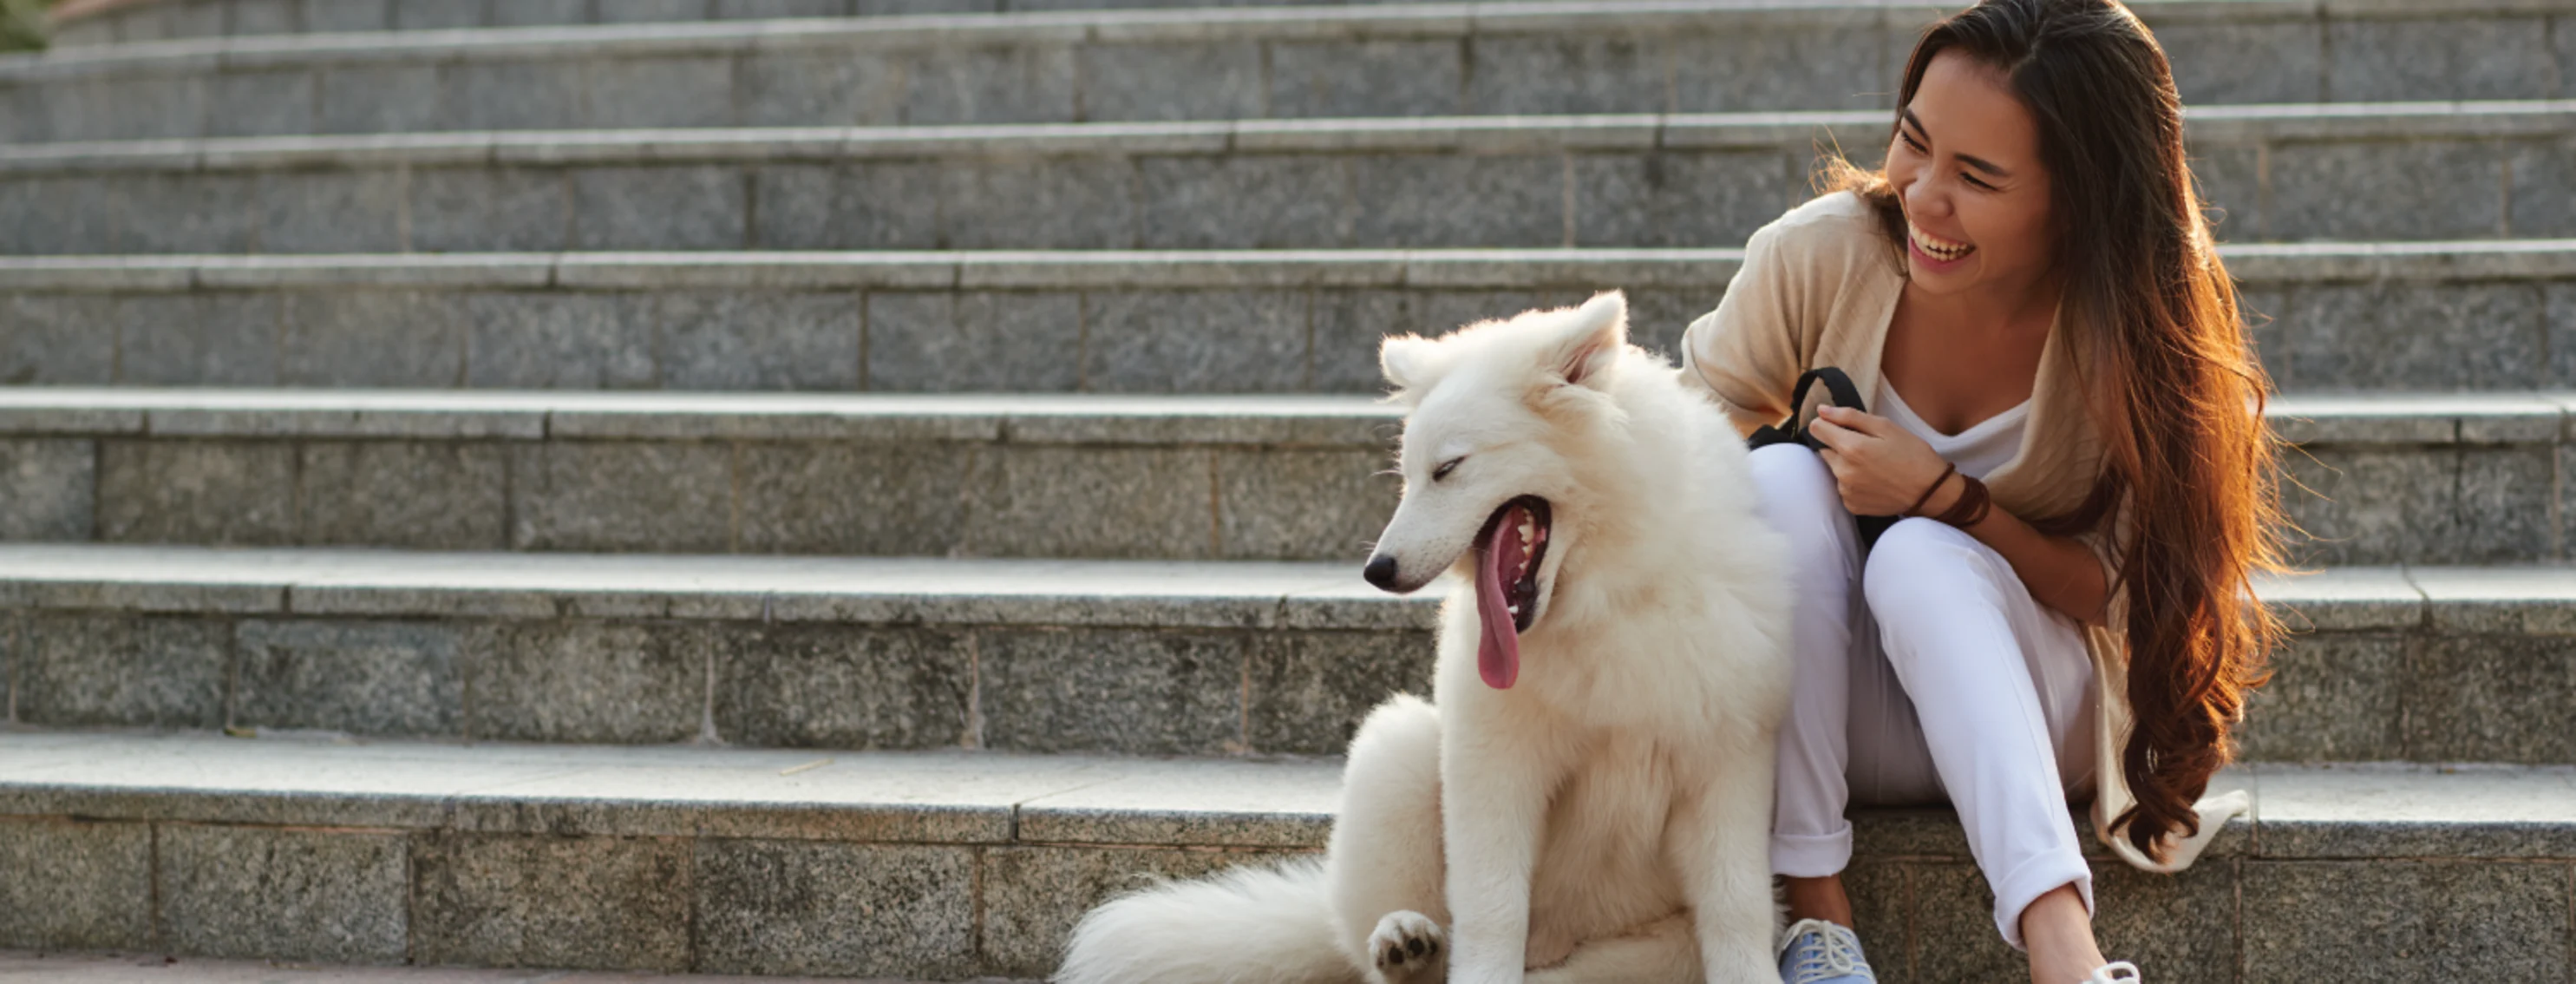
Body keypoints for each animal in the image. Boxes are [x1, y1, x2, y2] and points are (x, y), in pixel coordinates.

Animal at [1045, 292, 1793, 984]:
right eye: (1408, 475)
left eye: (1449, 468)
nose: (1377, 571)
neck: (1608, 597)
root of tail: (1559, 945)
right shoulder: (1493, 757)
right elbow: (1492, 904)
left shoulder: (1728, 759)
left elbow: (1736, 904)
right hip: (1399, 747)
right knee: (1397, 939)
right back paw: (1408, 945)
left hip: (1652, 948)